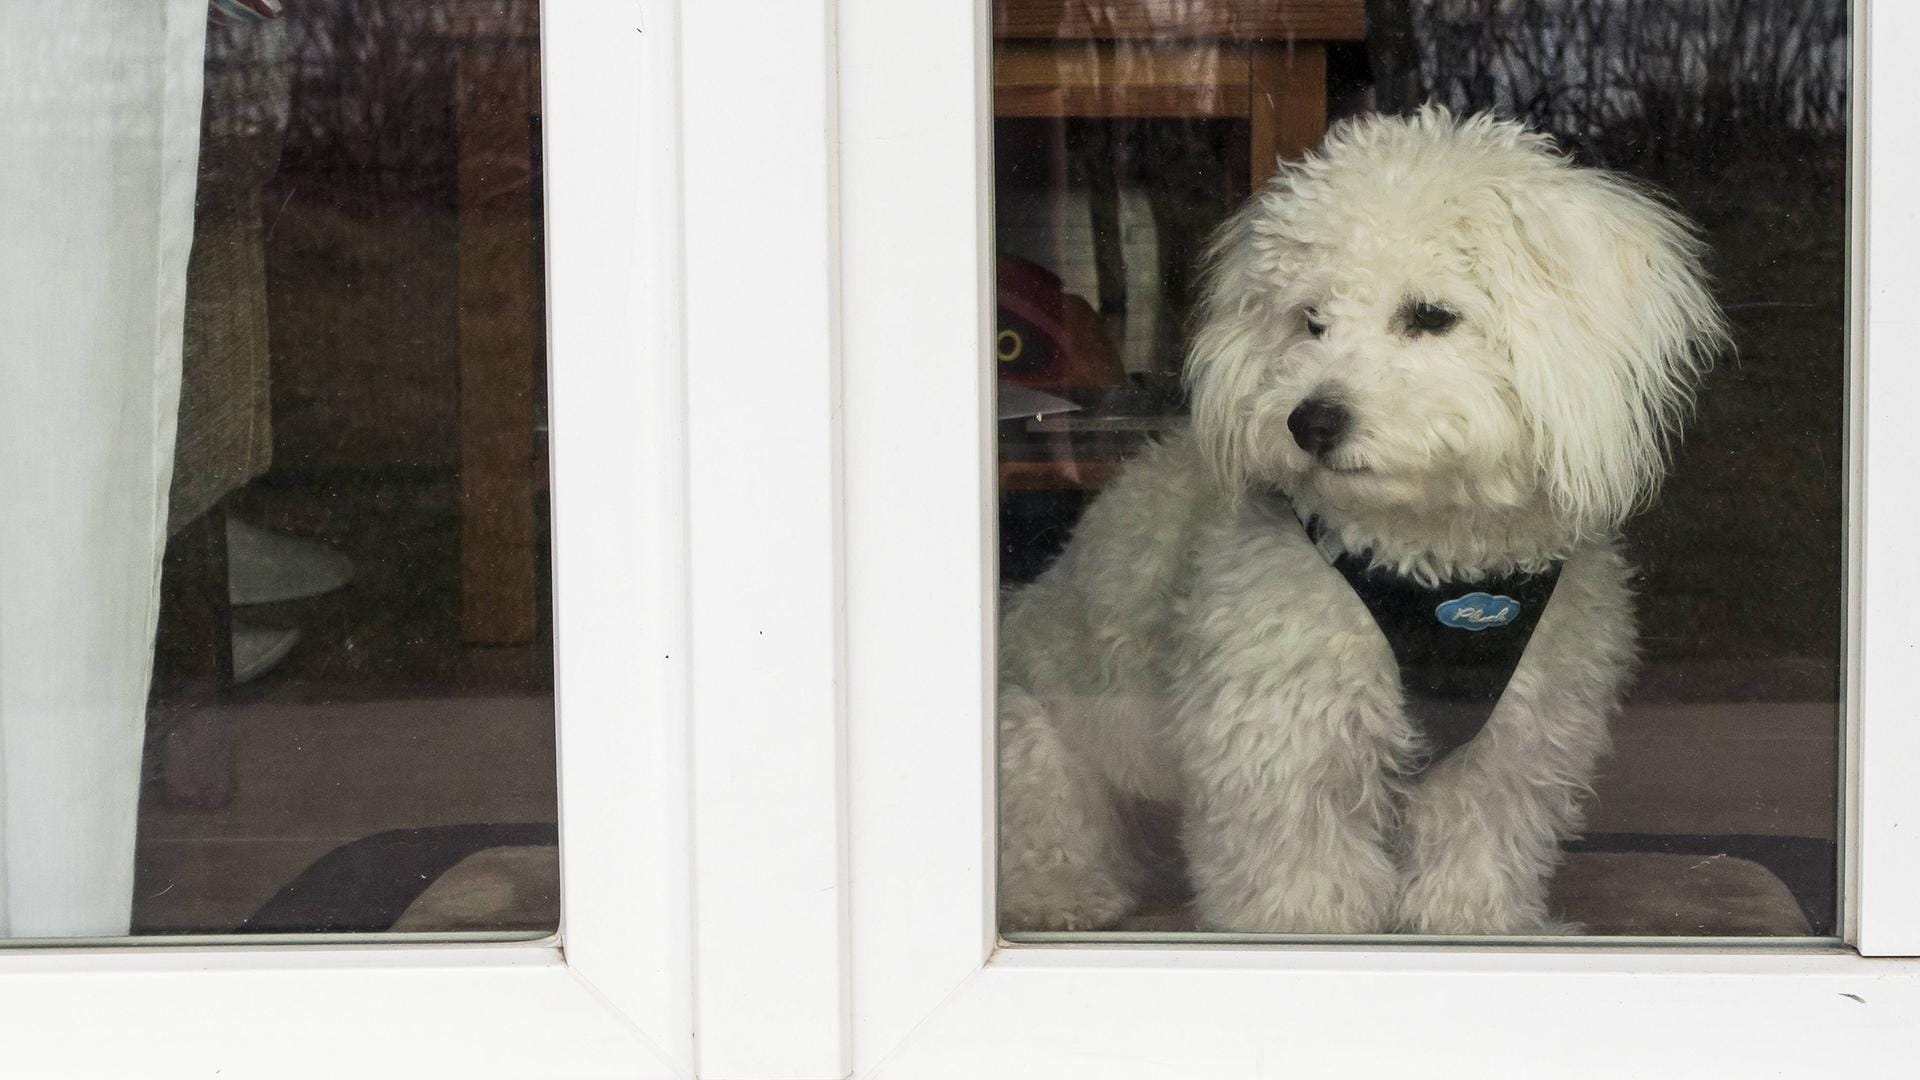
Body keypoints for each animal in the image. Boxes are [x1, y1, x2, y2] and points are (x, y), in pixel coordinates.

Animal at [998, 111, 1735, 933]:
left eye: (1431, 317)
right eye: (1310, 321)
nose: (1310, 421)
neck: (1437, 560)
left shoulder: (1504, 752)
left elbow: (1473, 860)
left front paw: (1473, 928)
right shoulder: (1283, 743)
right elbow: (1302, 887)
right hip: (1033, 738)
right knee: (1049, 832)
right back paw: (1059, 896)